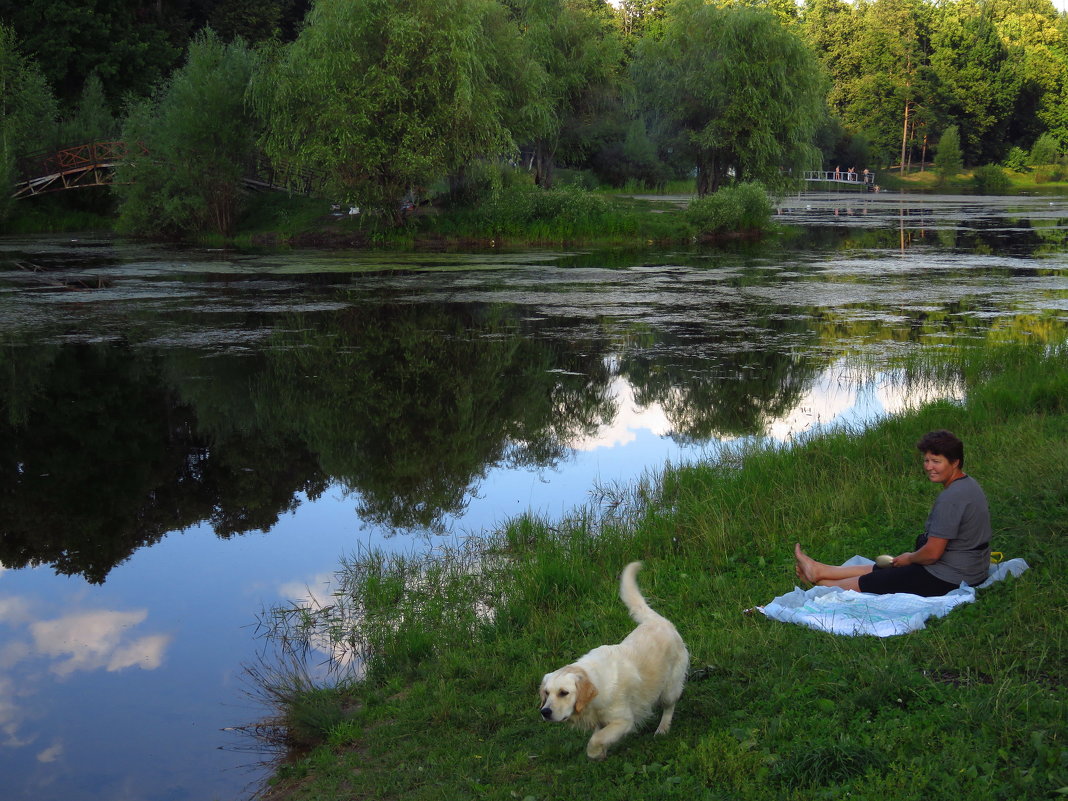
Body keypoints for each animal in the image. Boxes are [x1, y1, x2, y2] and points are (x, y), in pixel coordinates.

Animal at [538, 559, 687, 760]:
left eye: (563, 692)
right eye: (546, 693)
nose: (545, 711)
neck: (595, 686)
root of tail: (657, 620)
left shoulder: (623, 720)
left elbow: (596, 739)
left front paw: (596, 752)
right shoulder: (599, 720)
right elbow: (598, 734)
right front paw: (601, 752)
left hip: (670, 687)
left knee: (669, 707)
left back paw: (662, 729)